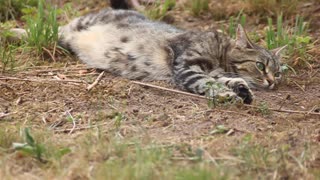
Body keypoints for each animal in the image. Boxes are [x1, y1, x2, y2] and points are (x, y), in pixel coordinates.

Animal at [10, 8, 286, 104]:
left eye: (278, 72)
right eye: (260, 66)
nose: (272, 82)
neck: (221, 57)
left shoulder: (209, 70)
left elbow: (225, 79)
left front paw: (241, 89)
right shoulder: (185, 65)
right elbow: (207, 83)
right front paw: (226, 94)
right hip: (73, 27)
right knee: (51, 29)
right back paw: (12, 32)